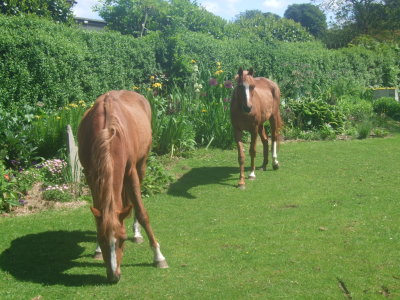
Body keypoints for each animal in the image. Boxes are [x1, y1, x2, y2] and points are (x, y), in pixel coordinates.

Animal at [78, 90, 167, 282]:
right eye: (101, 239)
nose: (114, 276)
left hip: (141, 166)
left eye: (123, 239)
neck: (107, 137)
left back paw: (138, 233)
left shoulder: (131, 171)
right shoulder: (90, 175)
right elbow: (100, 214)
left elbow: (142, 212)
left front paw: (158, 256)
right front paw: (97, 250)